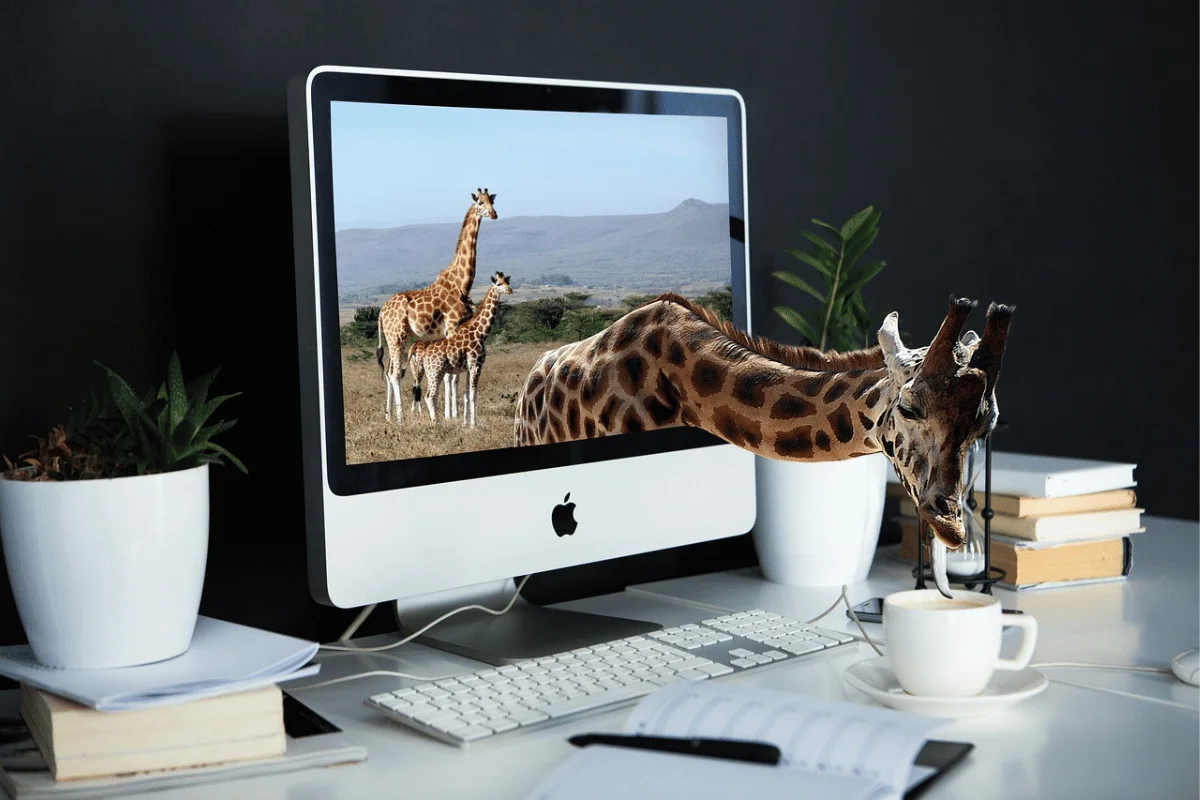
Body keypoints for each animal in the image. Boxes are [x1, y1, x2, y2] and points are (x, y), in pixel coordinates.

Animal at [375, 189, 498, 422]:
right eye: (479, 202)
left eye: (492, 201)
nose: (493, 214)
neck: (461, 284)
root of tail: (380, 313)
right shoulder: (452, 327)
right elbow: (451, 377)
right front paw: (453, 415)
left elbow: (452, 375)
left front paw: (454, 414)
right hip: (398, 336)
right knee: (395, 373)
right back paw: (401, 418)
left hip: (393, 337)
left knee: (389, 371)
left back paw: (388, 416)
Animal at [408, 272, 513, 426]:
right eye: (499, 284)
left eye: (507, 282)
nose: (509, 290)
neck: (480, 332)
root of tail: (424, 353)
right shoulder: (476, 365)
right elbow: (473, 394)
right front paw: (474, 424)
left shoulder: (469, 368)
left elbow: (467, 394)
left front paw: (465, 423)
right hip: (435, 372)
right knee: (429, 395)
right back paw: (436, 422)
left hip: (430, 372)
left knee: (427, 393)